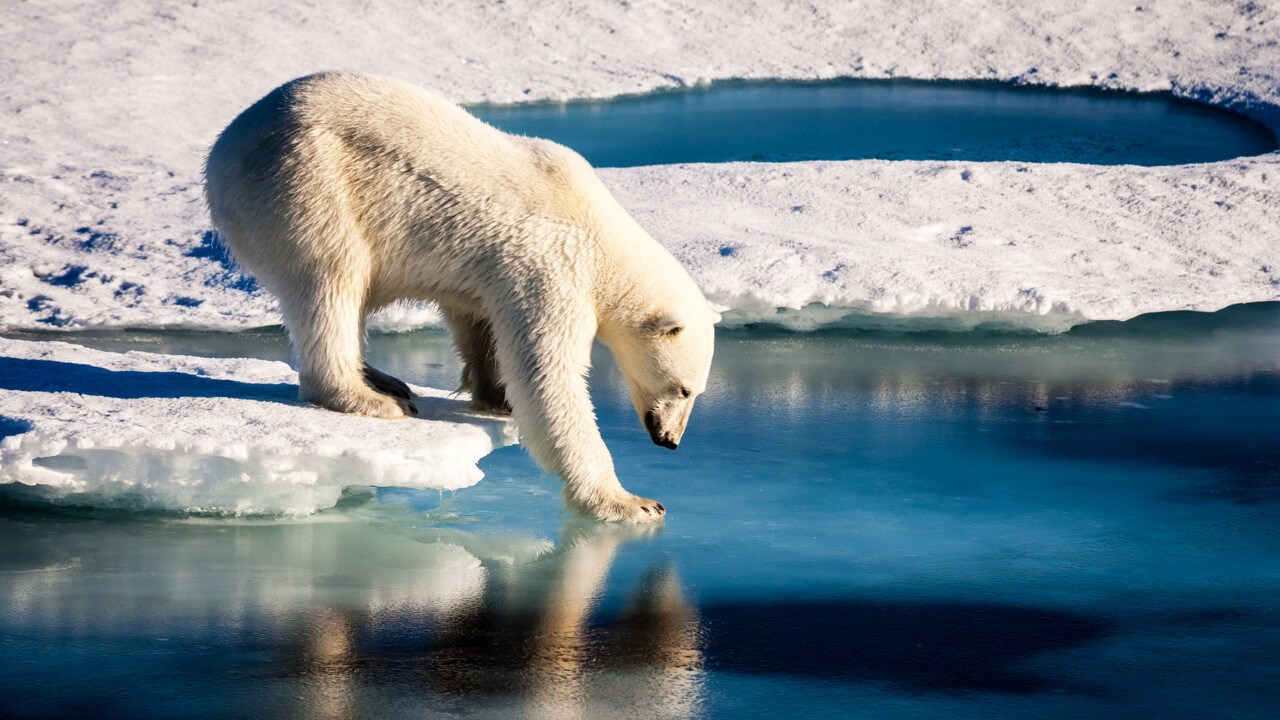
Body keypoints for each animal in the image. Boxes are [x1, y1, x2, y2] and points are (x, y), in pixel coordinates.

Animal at [204, 73, 716, 520]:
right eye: (683, 388)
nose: (670, 440)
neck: (601, 234)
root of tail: (223, 148)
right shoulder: (553, 268)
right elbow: (549, 377)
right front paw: (631, 502)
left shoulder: (494, 272)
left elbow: (479, 322)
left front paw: (495, 396)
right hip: (307, 183)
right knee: (331, 280)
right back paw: (370, 397)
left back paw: (384, 379)